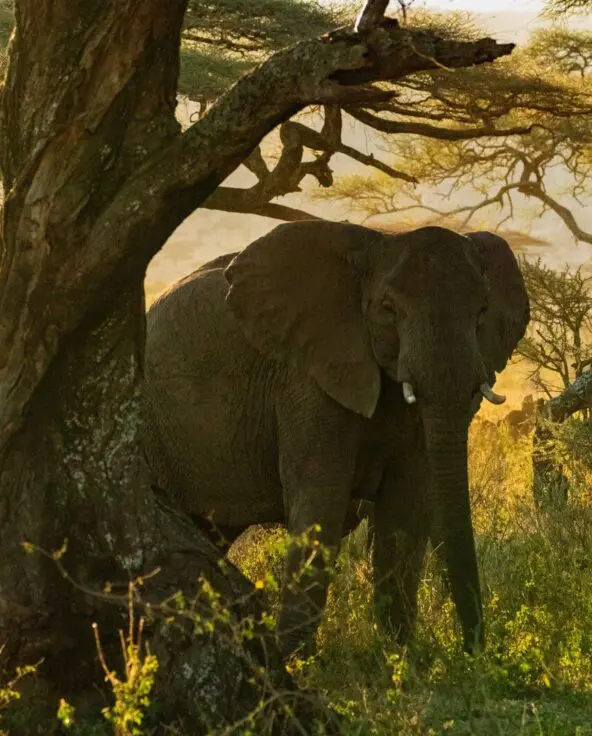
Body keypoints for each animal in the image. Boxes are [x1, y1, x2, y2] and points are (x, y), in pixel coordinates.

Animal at [143, 220, 529, 658]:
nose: (474, 650)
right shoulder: (307, 379)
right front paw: (295, 662)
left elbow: (406, 509)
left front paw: (401, 659)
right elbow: (321, 502)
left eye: (481, 312)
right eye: (389, 309)